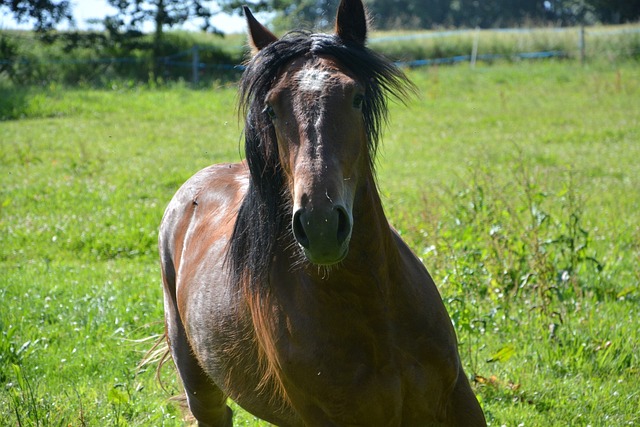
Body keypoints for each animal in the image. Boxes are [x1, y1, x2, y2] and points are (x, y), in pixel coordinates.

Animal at [159, 0, 484, 424]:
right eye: (271, 109)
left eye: (356, 97)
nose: (321, 224)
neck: (375, 313)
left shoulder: (458, 398)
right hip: (200, 386)